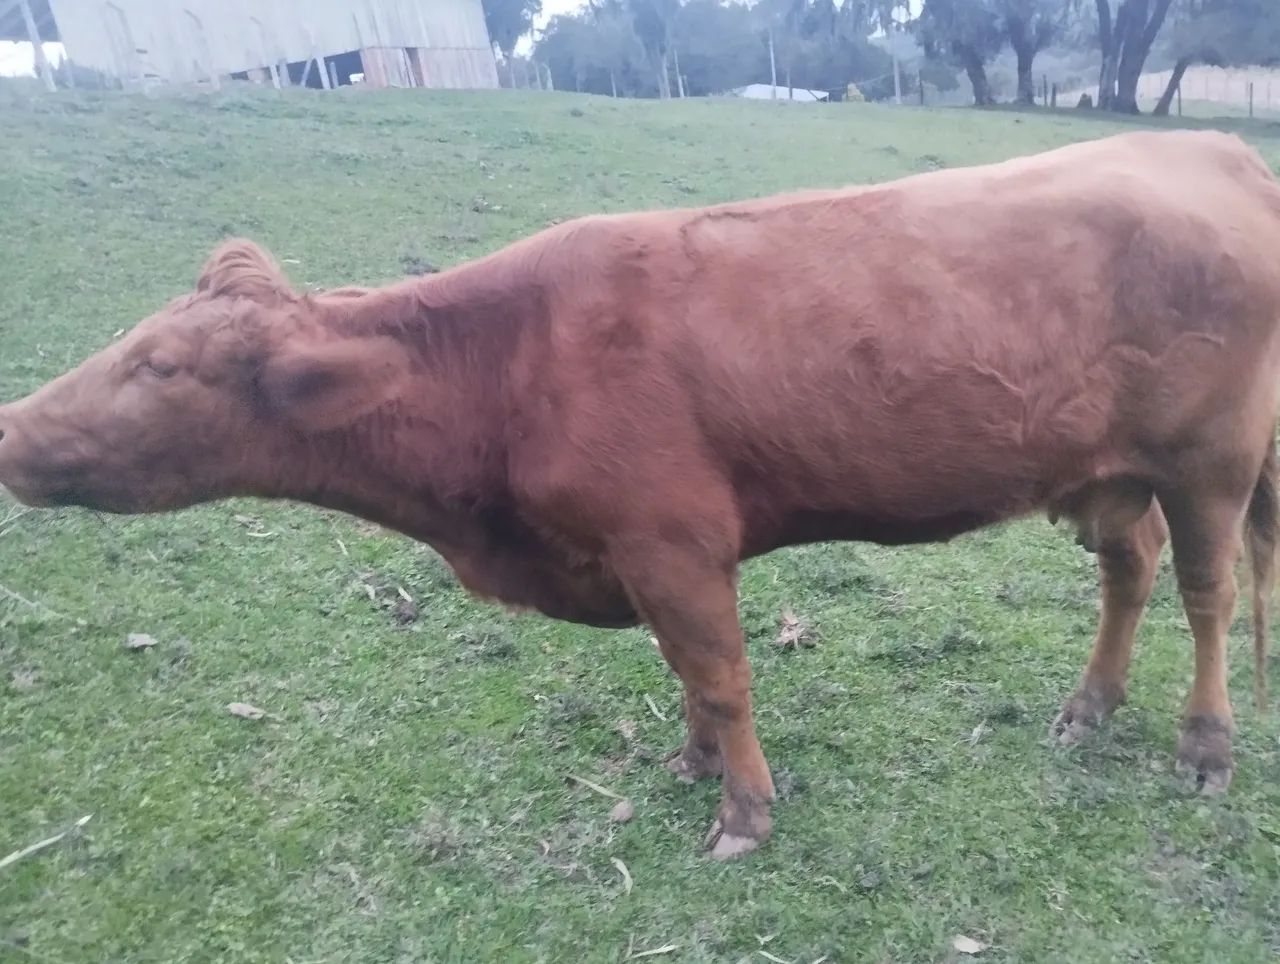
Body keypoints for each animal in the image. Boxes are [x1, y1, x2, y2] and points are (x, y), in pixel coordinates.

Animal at [1, 129, 1278, 860]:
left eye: (162, 367)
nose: (12, 426)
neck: (509, 369)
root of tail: (1210, 147)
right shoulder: (640, 555)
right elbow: (684, 675)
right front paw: (695, 764)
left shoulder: (671, 539)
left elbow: (717, 673)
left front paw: (743, 811)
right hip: (1106, 471)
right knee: (1129, 570)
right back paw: (1088, 706)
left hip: (1210, 460)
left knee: (1207, 595)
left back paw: (1203, 745)